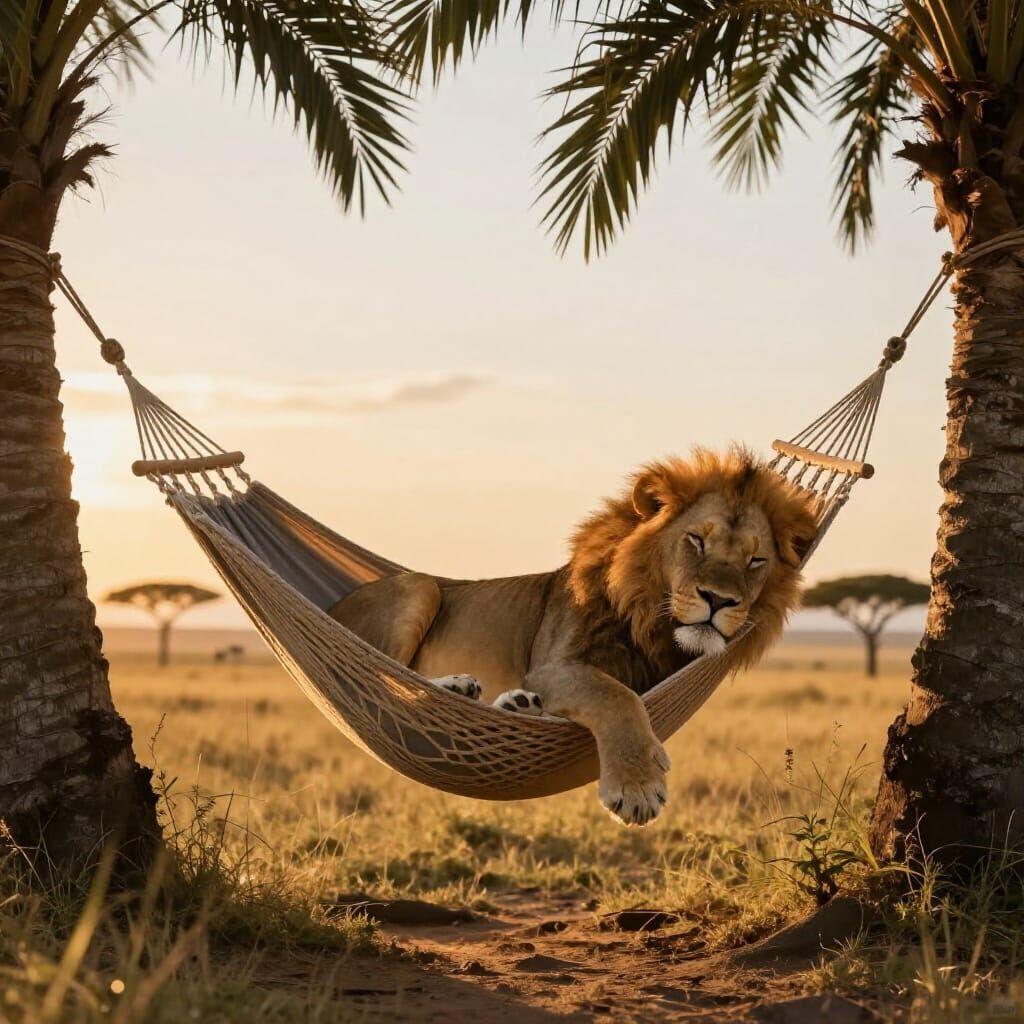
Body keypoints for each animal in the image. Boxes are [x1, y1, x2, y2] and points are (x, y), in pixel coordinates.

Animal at [328, 448, 818, 826]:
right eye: (696, 540)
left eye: (756, 560)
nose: (718, 600)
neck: (653, 619)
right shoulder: (553, 667)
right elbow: (615, 695)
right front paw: (637, 787)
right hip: (420, 586)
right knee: (384, 683)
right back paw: (461, 687)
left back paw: (508, 702)